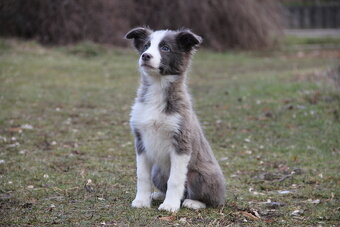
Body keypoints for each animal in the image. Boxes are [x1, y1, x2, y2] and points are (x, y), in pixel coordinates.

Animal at [125, 27, 226, 212]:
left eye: (165, 48)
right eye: (146, 46)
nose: (145, 56)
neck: (157, 88)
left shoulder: (181, 142)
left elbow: (175, 179)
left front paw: (170, 205)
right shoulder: (140, 141)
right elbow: (142, 175)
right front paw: (141, 201)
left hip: (200, 175)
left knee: (209, 199)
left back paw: (193, 202)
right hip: (157, 171)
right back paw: (158, 194)